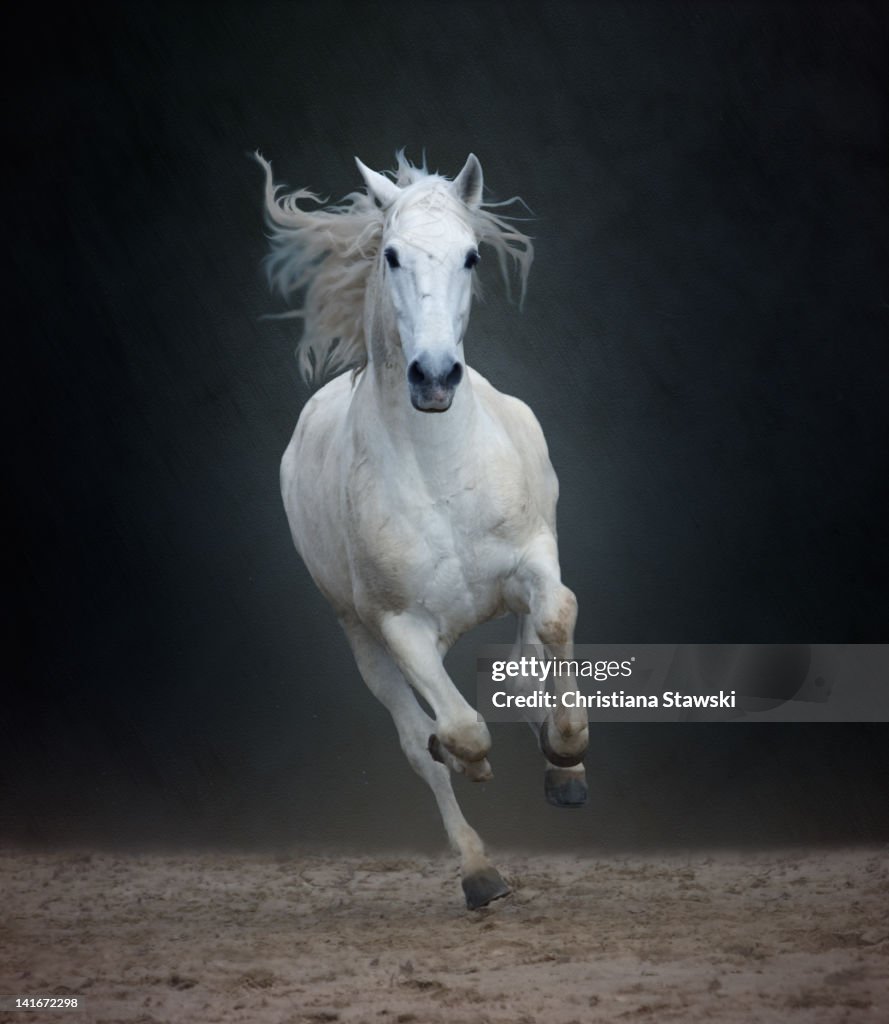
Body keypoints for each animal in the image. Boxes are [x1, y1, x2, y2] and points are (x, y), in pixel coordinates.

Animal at [257, 149, 589, 905]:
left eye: (471, 256)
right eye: (391, 255)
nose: (433, 377)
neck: (439, 470)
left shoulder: (533, 559)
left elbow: (555, 619)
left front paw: (566, 751)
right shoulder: (398, 626)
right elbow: (458, 731)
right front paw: (474, 765)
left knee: (525, 665)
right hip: (361, 636)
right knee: (419, 741)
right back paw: (479, 873)